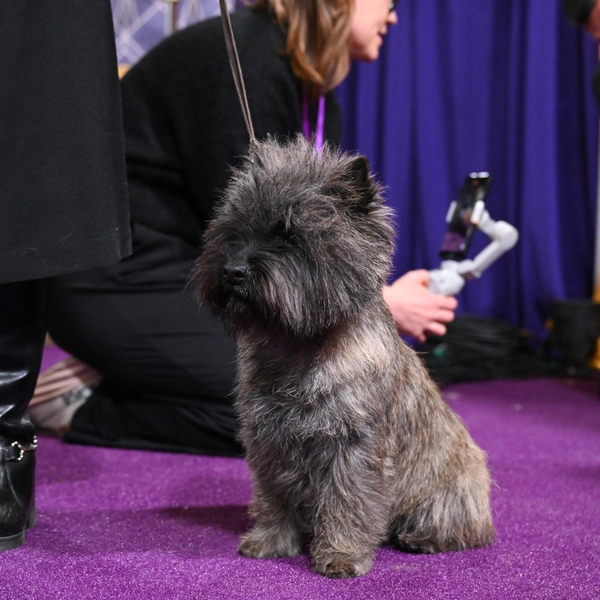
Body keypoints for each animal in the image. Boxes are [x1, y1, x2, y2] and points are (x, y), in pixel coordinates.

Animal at [195, 136, 494, 576]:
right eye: (233, 230)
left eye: (290, 235)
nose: (233, 271)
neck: (298, 349)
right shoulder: (268, 440)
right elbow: (272, 495)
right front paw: (270, 540)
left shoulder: (353, 447)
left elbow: (347, 501)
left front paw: (341, 554)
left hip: (451, 493)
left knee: (458, 526)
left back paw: (418, 538)